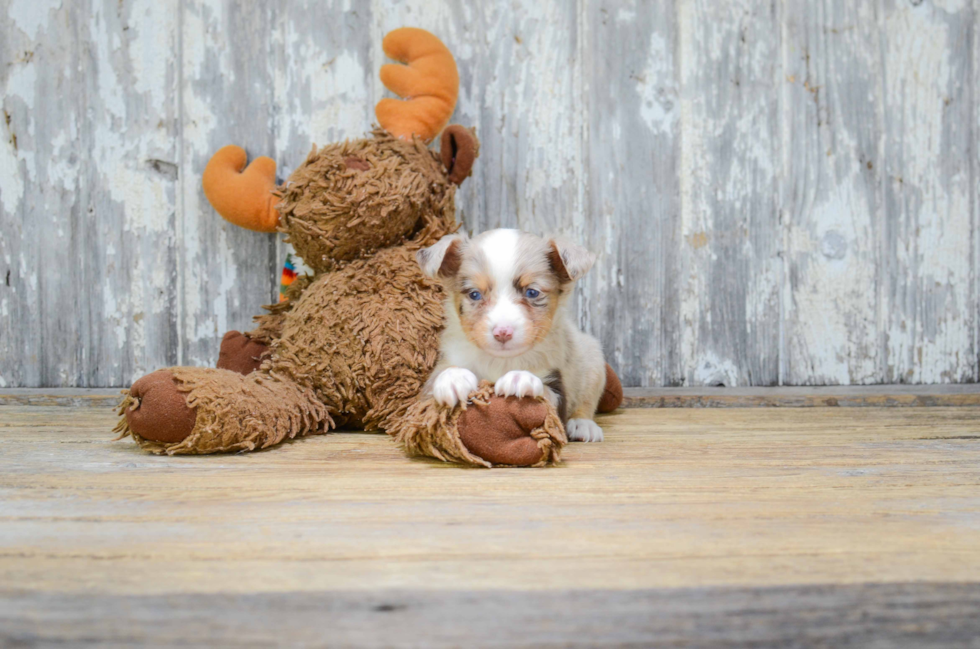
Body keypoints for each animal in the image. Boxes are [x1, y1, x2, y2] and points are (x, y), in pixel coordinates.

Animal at [418, 227, 608, 440]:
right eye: (474, 294)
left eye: (532, 292)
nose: (503, 332)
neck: (500, 361)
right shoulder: (428, 388)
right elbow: (441, 377)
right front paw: (453, 378)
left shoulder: (557, 388)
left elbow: (545, 392)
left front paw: (520, 378)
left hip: (592, 360)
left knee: (587, 400)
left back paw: (584, 425)